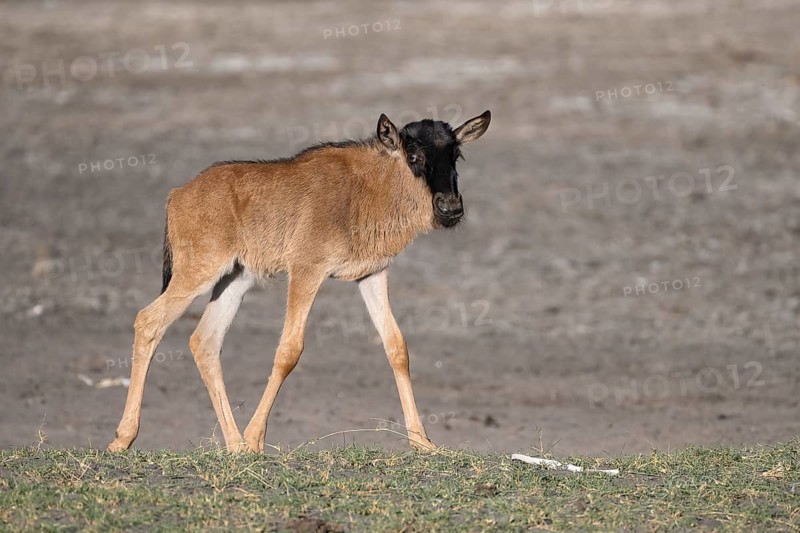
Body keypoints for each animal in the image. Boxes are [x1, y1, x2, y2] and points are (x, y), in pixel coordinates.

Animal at [107, 110, 491, 453]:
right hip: (198, 272)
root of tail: (177, 195)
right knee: (149, 321)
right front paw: (255, 439)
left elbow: (396, 347)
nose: (450, 208)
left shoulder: (372, 275)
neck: (369, 187)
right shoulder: (306, 270)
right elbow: (289, 351)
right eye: (414, 156)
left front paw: (423, 442)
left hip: (235, 279)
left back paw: (233, 445)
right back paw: (124, 438)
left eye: (456, 155)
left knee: (204, 341)